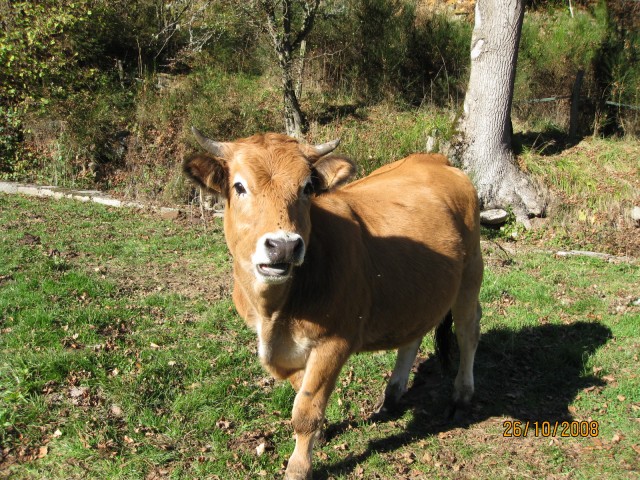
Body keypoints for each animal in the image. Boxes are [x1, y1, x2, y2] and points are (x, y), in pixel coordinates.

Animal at [181, 128, 480, 480]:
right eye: (239, 186)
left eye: (307, 187)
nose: (283, 246)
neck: (274, 312)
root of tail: (435, 159)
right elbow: (302, 391)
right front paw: (320, 434)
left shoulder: (335, 342)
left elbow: (306, 410)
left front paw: (299, 467)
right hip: (419, 291)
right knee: (413, 336)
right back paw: (391, 397)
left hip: (471, 274)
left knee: (468, 332)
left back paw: (461, 396)